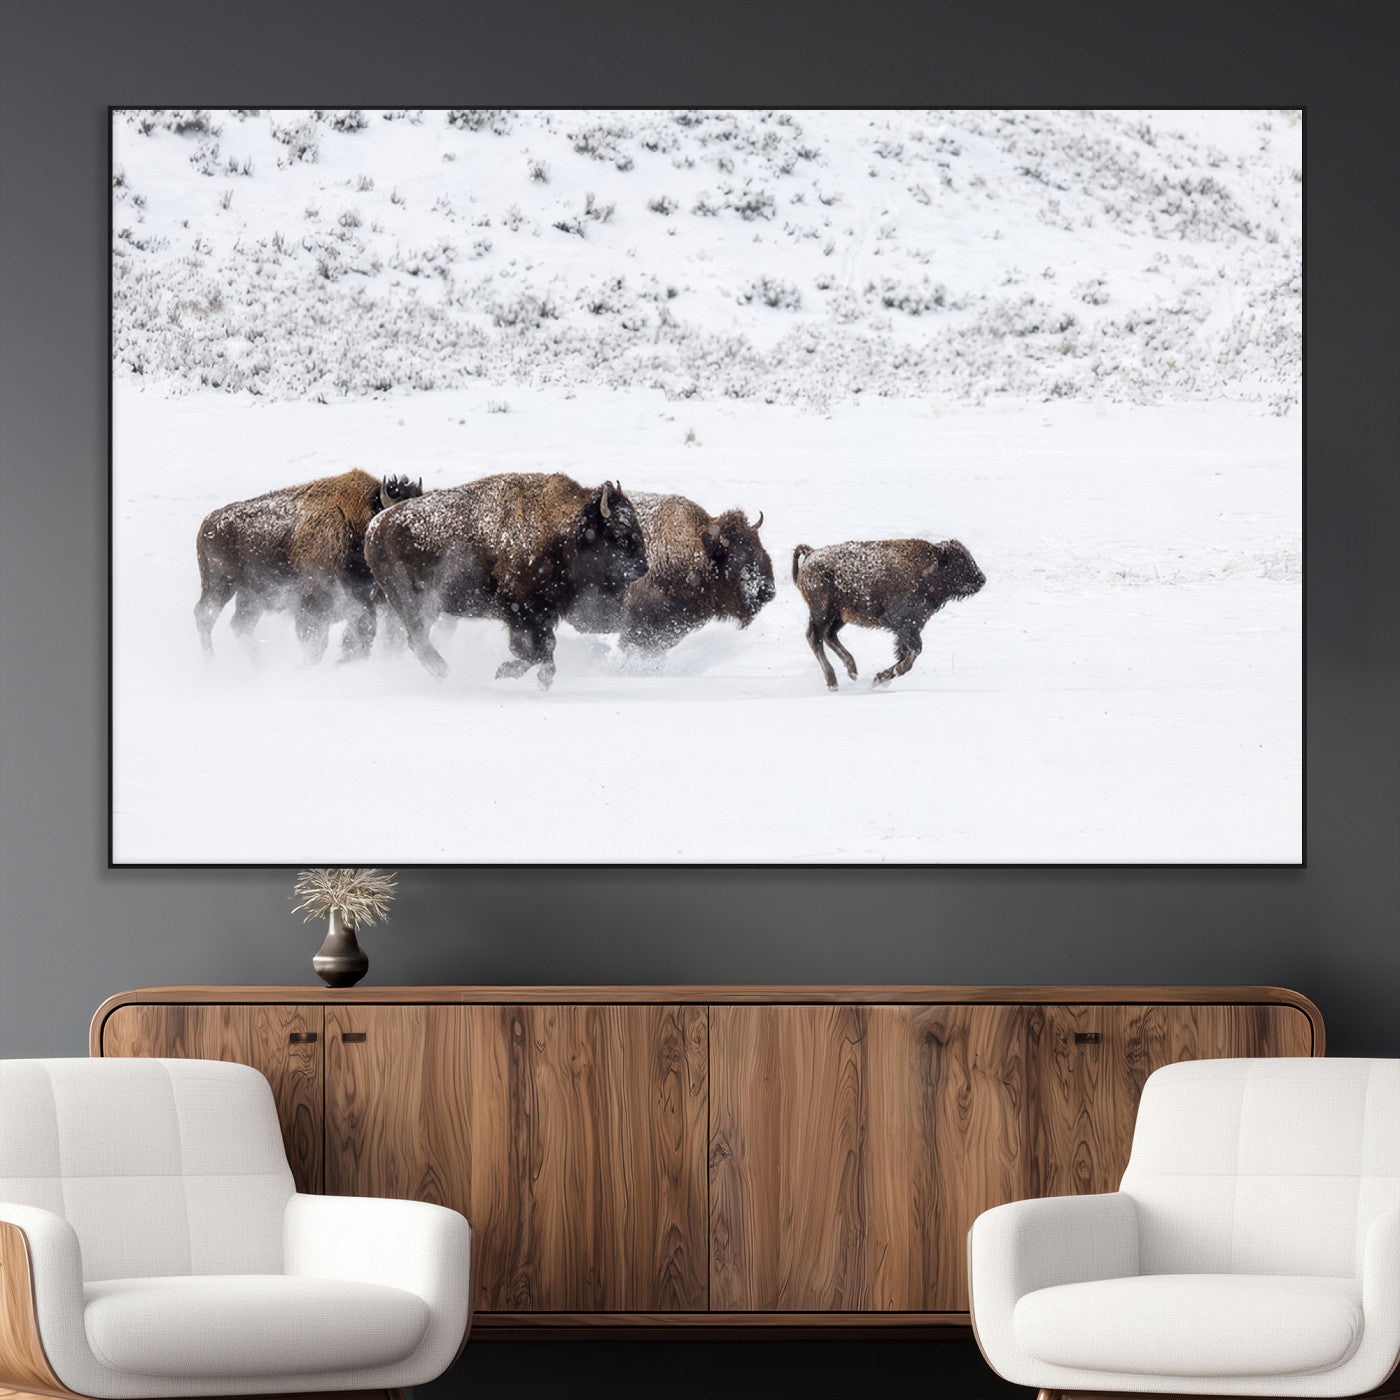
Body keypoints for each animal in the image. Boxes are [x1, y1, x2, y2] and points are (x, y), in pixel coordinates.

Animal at [194, 469, 423, 661]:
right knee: (205, 616)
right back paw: (210, 663)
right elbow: (315, 640)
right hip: (219, 583)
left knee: (240, 626)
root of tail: (207, 522)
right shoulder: (316, 600)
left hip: (251, 596)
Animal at [365, 472, 647, 689]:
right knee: (417, 640)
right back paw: (446, 672)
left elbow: (545, 647)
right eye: (619, 532)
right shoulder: (522, 609)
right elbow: (534, 650)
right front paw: (506, 672)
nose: (642, 567)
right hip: (413, 603)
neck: (565, 530)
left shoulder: (543, 612)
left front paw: (541, 680)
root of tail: (376, 527)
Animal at [792, 538, 985, 689]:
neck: (931, 567)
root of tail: (811, 554)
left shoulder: (909, 629)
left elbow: (906, 653)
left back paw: (852, 671)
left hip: (838, 616)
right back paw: (833, 682)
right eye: (959, 561)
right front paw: (882, 678)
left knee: (828, 636)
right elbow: (913, 654)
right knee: (815, 638)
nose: (981, 579)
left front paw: (880, 679)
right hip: (823, 613)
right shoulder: (907, 626)